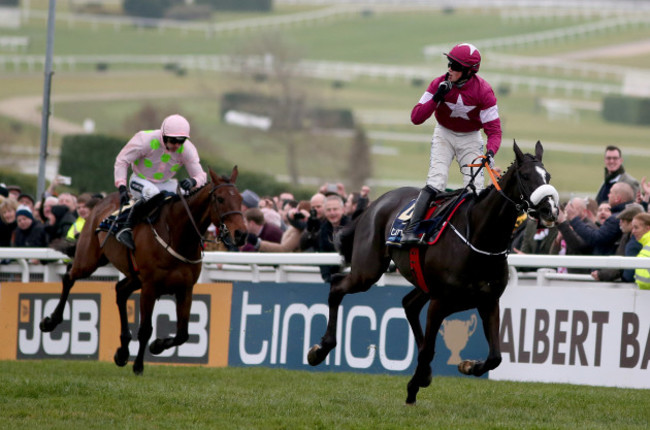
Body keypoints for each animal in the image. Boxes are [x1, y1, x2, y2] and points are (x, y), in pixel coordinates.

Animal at [40, 166, 247, 374]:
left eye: (240, 199)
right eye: (220, 199)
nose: (242, 234)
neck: (176, 234)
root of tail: (102, 202)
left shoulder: (185, 288)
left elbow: (183, 334)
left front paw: (157, 346)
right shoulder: (150, 286)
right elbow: (146, 329)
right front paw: (139, 364)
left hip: (133, 276)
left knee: (120, 291)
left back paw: (122, 351)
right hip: (89, 259)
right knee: (69, 276)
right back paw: (50, 321)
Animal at [308, 141, 556, 404]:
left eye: (548, 176)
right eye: (526, 176)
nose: (550, 209)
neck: (480, 238)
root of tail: (376, 202)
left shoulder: (488, 301)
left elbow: (495, 357)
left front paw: (467, 366)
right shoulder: (441, 301)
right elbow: (428, 349)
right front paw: (412, 388)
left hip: (419, 282)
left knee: (409, 304)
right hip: (367, 270)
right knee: (337, 285)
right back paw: (320, 350)